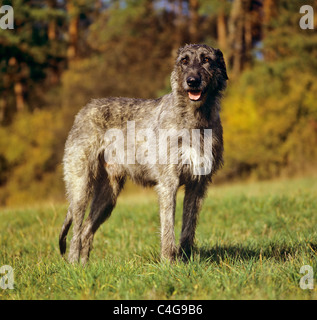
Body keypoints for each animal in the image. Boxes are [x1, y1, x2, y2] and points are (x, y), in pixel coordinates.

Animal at [58, 43, 227, 264]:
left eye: (206, 59)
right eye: (184, 61)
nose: (192, 81)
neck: (194, 119)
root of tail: (83, 110)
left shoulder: (198, 184)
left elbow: (188, 227)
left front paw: (186, 259)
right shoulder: (168, 182)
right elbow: (168, 227)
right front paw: (169, 263)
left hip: (108, 195)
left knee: (87, 230)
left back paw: (84, 267)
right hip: (80, 186)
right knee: (76, 231)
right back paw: (73, 265)